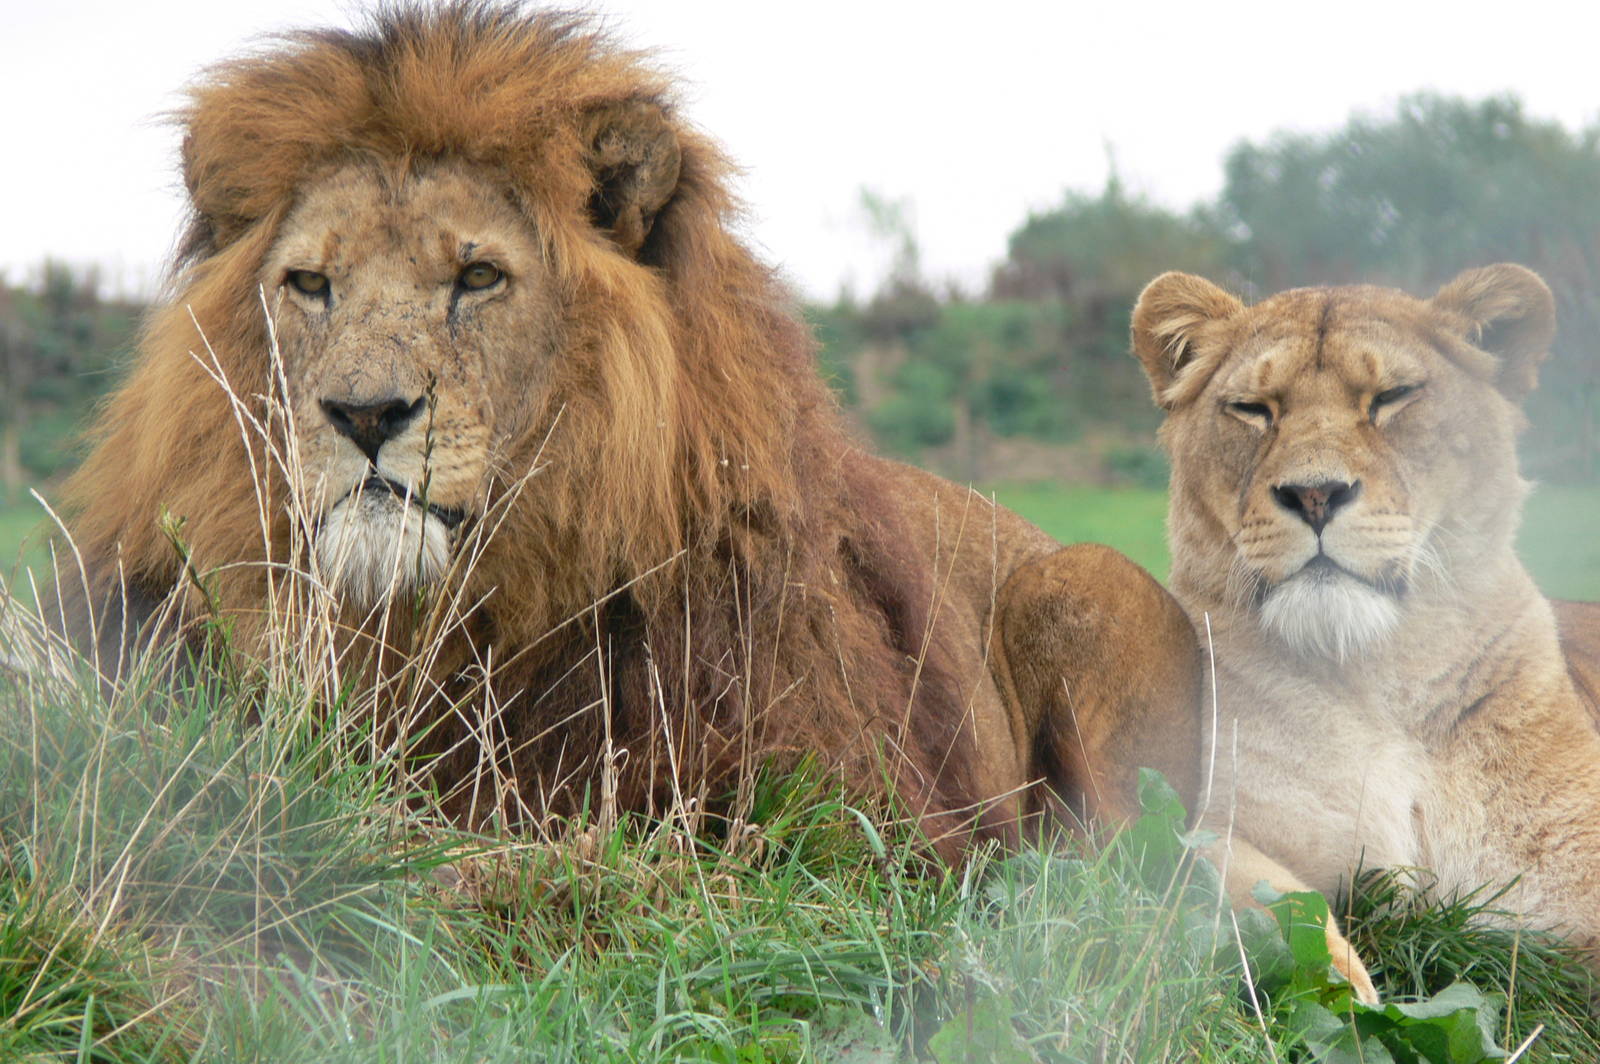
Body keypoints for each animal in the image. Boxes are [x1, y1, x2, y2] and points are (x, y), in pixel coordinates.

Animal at [1131, 264, 1600, 1002]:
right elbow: (1284, 911)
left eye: (1392, 398)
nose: (1315, 494)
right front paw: (1350, 1003)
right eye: (1253, 409)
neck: (1382, 682)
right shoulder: (1198, 829)